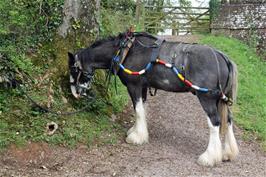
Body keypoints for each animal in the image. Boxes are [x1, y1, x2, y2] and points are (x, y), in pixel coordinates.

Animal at [68, 31, 239, 166]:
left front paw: (137, 137)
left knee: (215, 123)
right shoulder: (143, 87)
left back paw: (209, 157)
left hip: (207, 98)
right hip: (220, 99)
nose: (75, 93)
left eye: (73, 69)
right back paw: (227, 153)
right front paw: (136, 130)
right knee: (228, 120)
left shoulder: (134, 85)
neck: (126, 51)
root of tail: (222, 57)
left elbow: (137, 110)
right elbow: (141, 109)